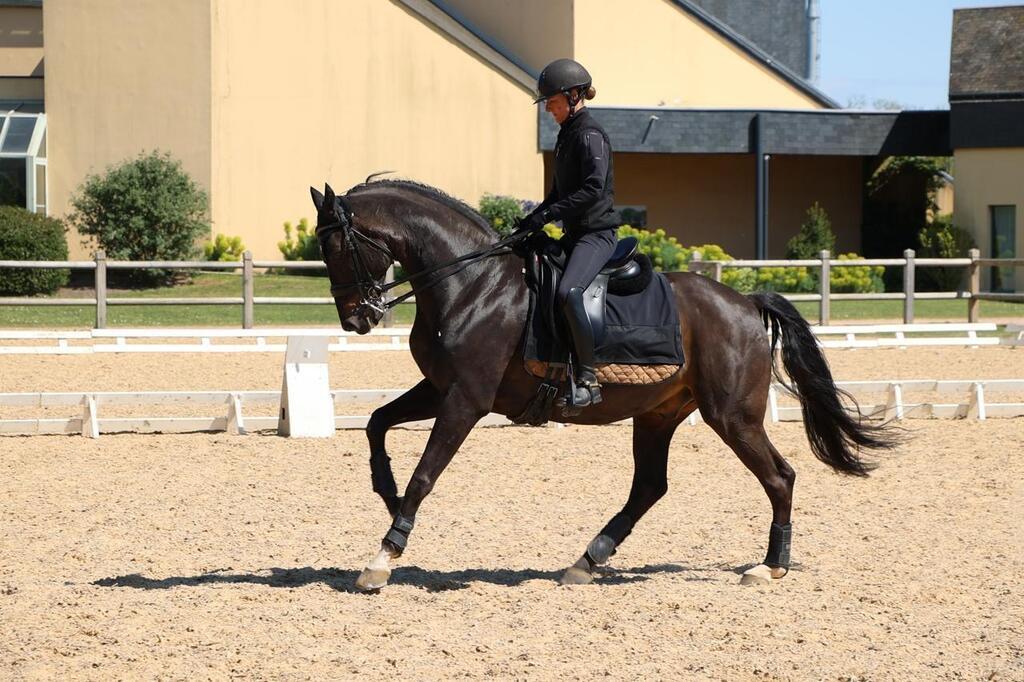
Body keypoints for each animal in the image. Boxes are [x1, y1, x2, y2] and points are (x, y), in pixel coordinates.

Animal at [307, 180, 892, 589]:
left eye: (336, 248)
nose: (356, 320)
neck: (471, 284)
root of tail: (746, 303)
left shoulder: (466, 400)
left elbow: (425, 475)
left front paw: (383, 557)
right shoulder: (439, 388)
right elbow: (377, 423)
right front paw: (386, 494)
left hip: (731, 416)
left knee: (779, 476)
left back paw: (768, 568)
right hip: (659, 415)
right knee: (650, 486)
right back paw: (586, 561)